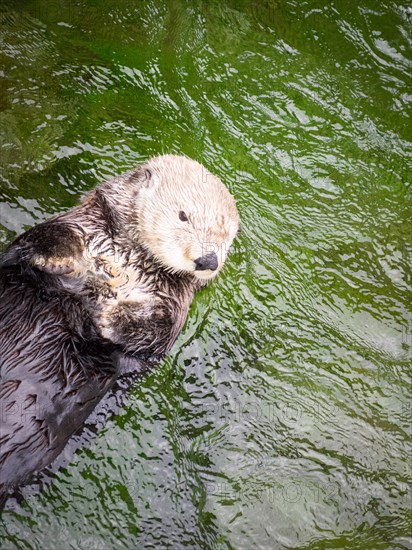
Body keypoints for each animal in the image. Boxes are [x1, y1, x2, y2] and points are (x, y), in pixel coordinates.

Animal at [0, 153, 240, 506]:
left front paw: (110, 318)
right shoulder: (71, 226)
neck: (127, 263)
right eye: (183, 215)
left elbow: (155, 331)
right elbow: (41, 239)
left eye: (227, 238)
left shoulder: (174, 311)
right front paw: (63, 258)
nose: (209, 260)